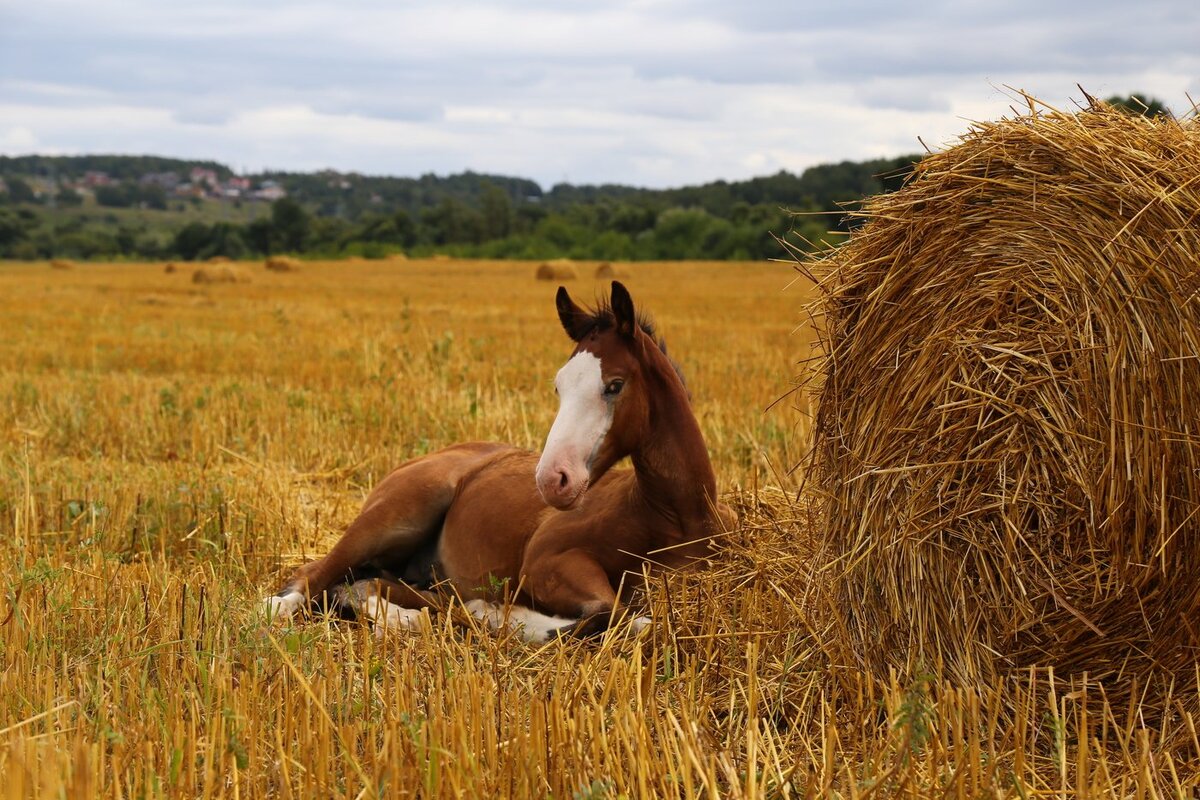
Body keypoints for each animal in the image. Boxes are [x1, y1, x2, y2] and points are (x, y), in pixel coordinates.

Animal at [265, 281, 729, 642]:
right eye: (559, 386)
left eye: (614, 385)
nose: (552, 479)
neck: (669, 516)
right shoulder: (546, 560)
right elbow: (615, 615)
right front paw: (504, 616)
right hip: (396, 516)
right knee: (309, 580)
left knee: (367, 585)